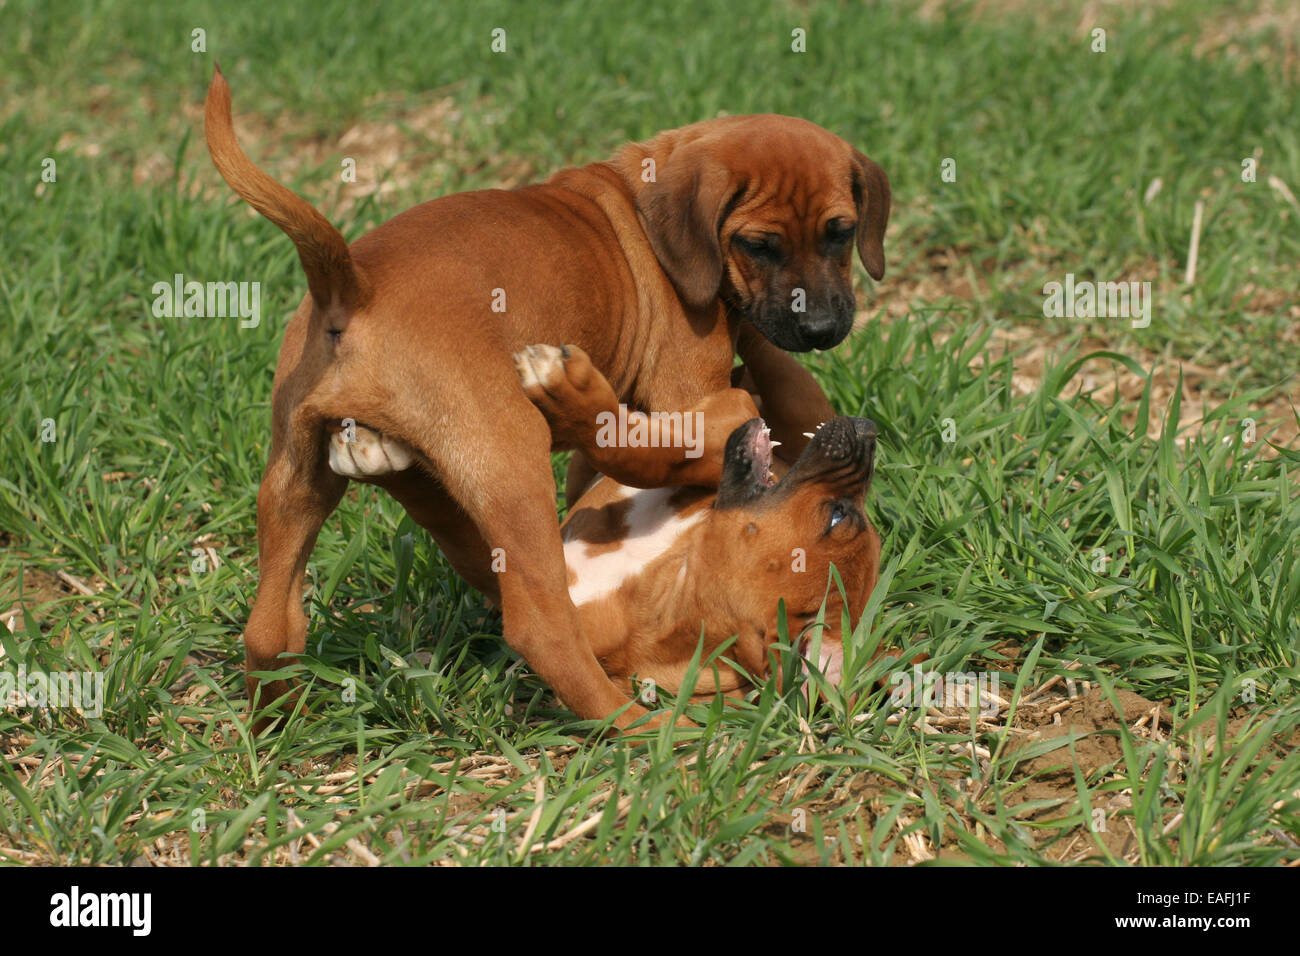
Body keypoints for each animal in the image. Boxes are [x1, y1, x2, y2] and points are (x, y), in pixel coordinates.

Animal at [202, 63, 889, 728]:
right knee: (546, 624)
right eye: (759, 245)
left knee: (271, 627)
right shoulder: (690, 396)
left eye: (841, 233)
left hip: (294, 474)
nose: (822, 329)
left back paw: (274, 725)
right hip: (512, 462)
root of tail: (354, 283)